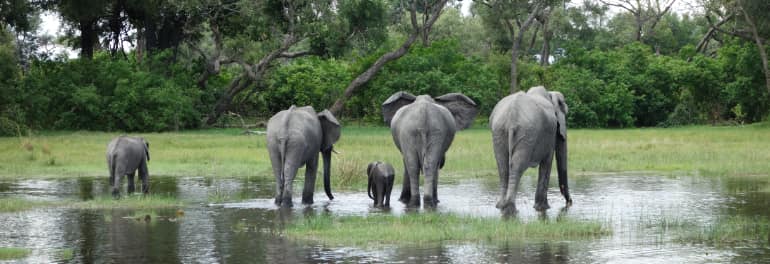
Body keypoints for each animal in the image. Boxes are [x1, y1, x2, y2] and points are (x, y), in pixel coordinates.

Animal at [486, 86, 568, 214]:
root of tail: (512, 116)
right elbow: (547, 163)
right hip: (527, 134)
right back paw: (510, 209)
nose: (569, 203)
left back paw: (500, 206)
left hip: (498, 132)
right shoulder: (551, 133)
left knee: (503, 166)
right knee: (517, 166)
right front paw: (543, 208)